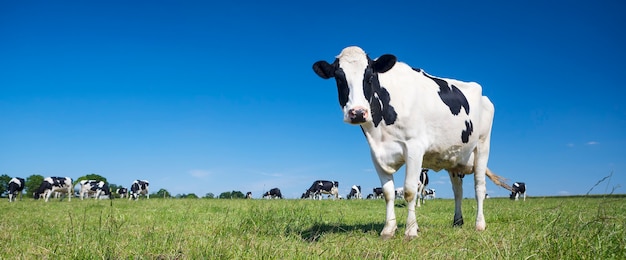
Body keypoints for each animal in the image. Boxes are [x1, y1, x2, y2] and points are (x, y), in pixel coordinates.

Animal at [312, 46, 508, 240]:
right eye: (339, 78)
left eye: (370, 77)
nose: (358, 112)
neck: (380, 131)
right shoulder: (376, 154)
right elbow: (388, 193)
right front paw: (388, 229)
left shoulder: (415, 148)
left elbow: (409, 190)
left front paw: (411, 230)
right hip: (453, 158)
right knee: (457, 191)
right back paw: (458, 221)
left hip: (482, 146)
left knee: (479, 187)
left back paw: (479, 224)